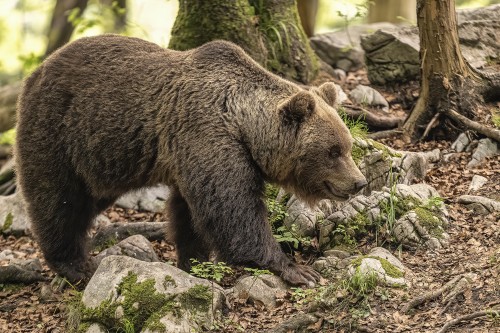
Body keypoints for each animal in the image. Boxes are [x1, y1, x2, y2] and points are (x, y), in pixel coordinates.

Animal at [15, 34, 368, 286]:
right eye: (333, 151)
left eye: (347, 146)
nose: (359, 182)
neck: (243, 125)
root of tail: (35, 72)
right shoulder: (207, 135)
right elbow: (233, 213)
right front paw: (296, 269)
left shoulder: (189, 157)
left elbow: (189, 214)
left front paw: (193, 263)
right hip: (59, 131)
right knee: (59, 199)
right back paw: (74, 264)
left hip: (106, 159)